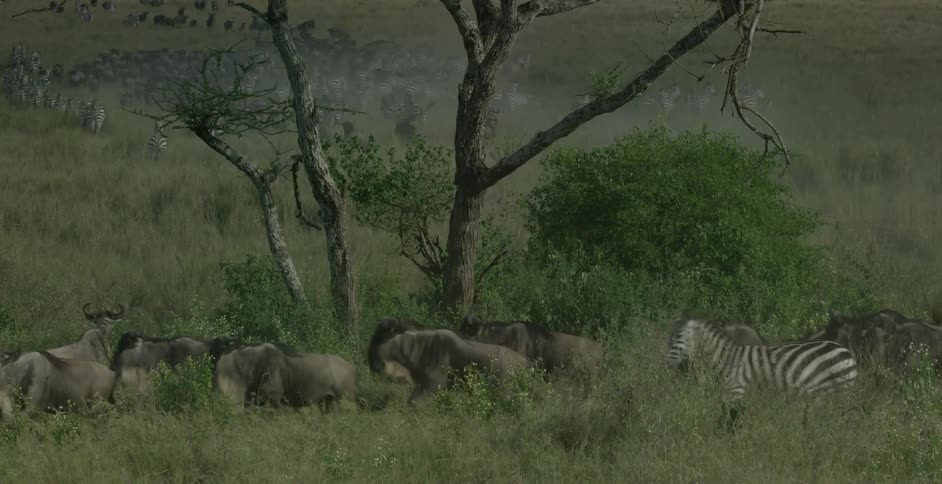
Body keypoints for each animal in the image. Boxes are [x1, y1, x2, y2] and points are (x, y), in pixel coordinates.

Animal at [666, 317, 858, 426]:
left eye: (677, 339)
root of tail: (847, 352)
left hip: (834, 392)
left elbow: (731, 418)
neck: (728, 358)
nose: (667, 364)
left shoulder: (736, 390)